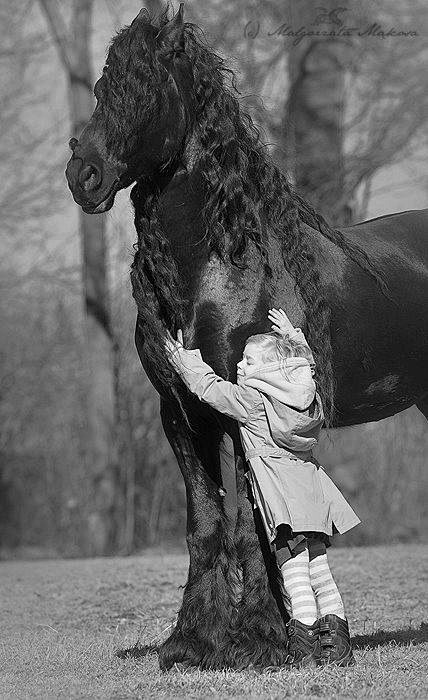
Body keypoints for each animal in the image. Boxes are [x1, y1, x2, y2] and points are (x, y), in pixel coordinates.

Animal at [64, 5, 428, 668]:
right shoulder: (181, 414)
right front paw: (192, 643)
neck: (221, 264)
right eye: (102, 86)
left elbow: (252, 527)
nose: (86, 175)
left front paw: (261, 639)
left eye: (146, 87)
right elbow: (207, 523)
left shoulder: (243, 412)